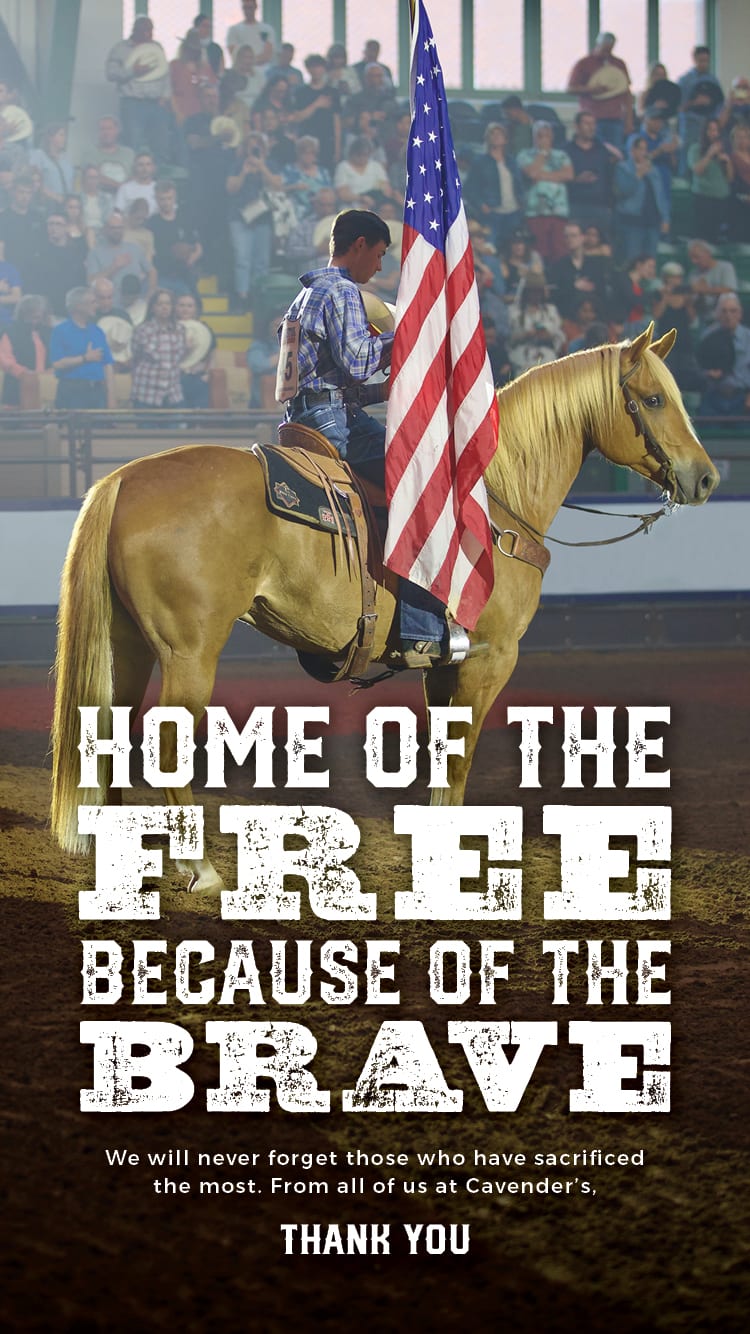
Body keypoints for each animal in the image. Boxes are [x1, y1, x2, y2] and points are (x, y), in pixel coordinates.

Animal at [49, 324, 715, 891]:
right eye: (654, 399)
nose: (706, 478)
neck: (494, 499)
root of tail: (125, 479)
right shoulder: (491, 657)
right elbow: (460, 761)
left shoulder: (446, 665)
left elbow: (443, 756)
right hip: (188, 652)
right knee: (164, 747)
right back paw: (201, 869)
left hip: (127, 646)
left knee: (105, 736)